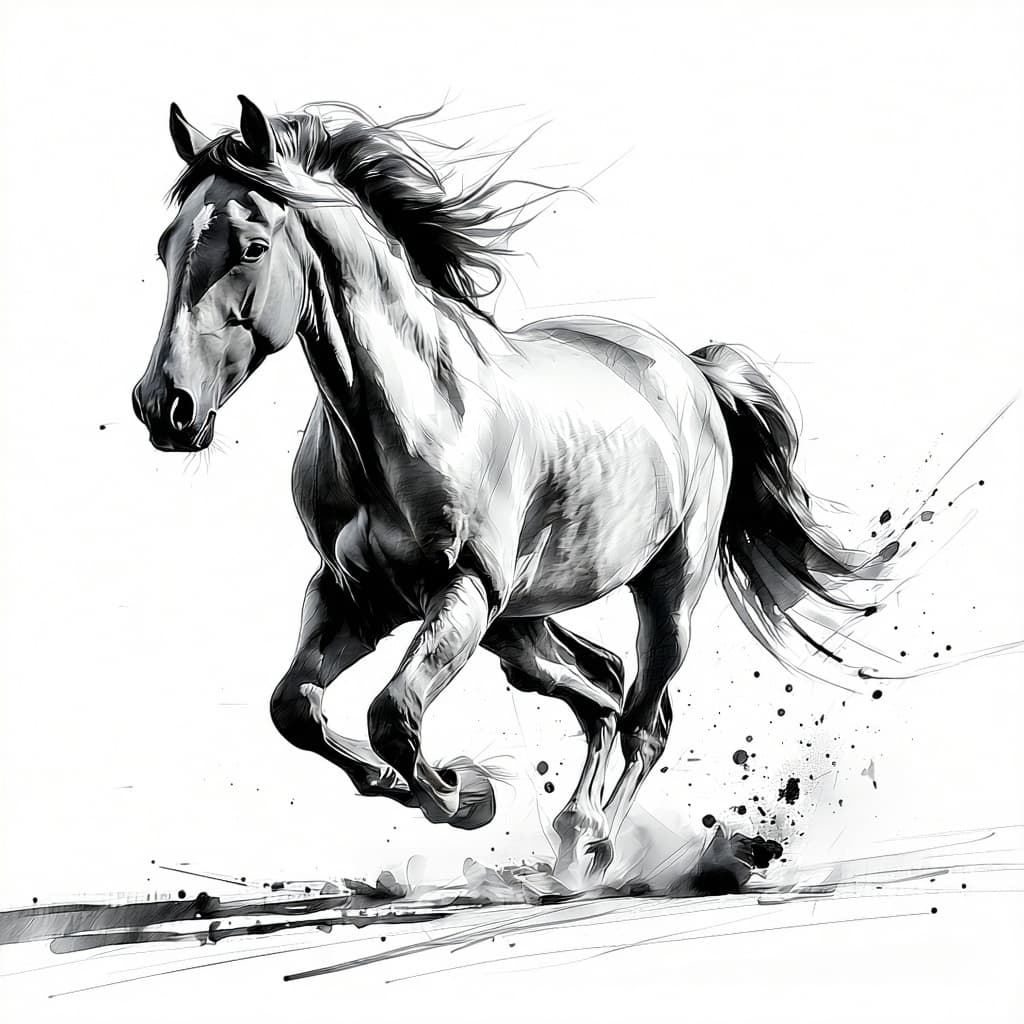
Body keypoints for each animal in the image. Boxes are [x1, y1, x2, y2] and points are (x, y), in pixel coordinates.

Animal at [132, 96, 876, 887]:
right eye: (166, 248)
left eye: (250, 248)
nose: (163, 407)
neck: (408, 418)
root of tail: (693, 370)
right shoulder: (354, 597)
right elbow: (295, 708)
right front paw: (415, 785)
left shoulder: (465, 590)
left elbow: (394, 715)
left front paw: (463, 793)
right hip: (521, 623)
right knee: (598, 686)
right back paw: (572, 833)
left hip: (662, 592)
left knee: (644, 719)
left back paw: (589, 845)